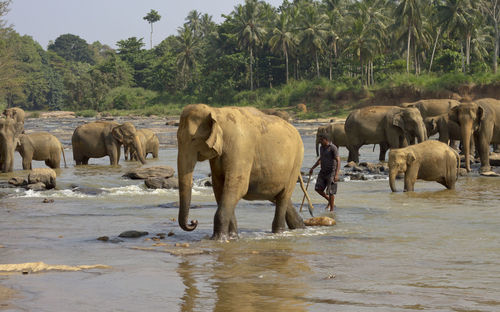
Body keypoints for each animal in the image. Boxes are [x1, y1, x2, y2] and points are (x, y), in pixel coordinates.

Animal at [178, 103, 314, 240]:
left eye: (193, 139)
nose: (193, 222)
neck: (216, 112)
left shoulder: (240, 147)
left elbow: (237, 187)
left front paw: (218, 239)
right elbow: (219, 188)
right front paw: (232, 237)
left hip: (296, 161)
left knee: (283, 197)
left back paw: (279, 232)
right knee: (277, 196)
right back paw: (300, 228)